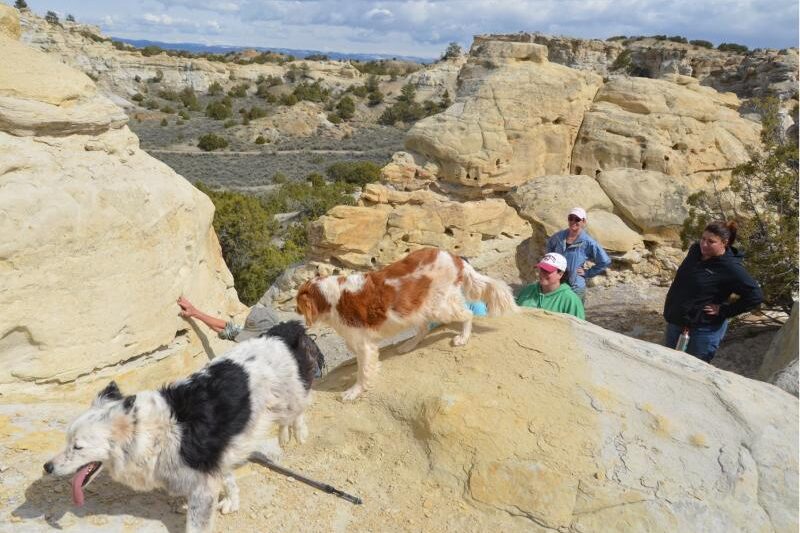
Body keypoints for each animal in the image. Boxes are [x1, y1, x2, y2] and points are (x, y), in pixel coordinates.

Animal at [43, 320, 324, 532]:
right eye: (67, 441)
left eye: (78, 447)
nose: (47, 467)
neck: (154, 434)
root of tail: (283, 331)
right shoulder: (214, 459)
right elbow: (228, 478)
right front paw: (232, 501)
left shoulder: (201, 486)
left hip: (290, 398)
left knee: (300, 407)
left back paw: (297, 432)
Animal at [296, 248, 516, 400]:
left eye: (298, 303)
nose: (296, 311)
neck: (332, 298)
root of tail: (454, 256)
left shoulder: (364, 346)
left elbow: (363, 372)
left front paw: (354, 392)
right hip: (418, 307)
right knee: (424, 327)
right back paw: (408, 345)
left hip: (439, 306)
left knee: (467, 313)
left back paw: (463, 337)